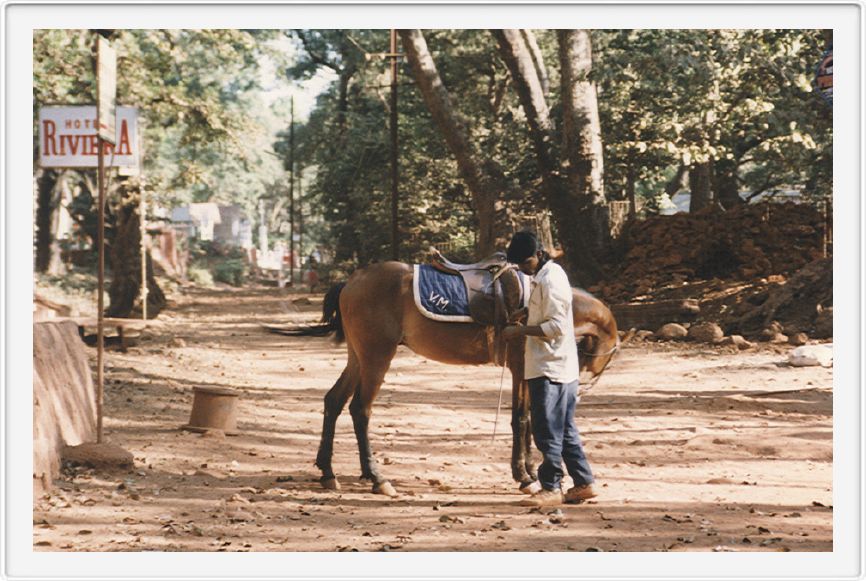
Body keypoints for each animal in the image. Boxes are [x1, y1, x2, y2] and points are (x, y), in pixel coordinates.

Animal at [300, 260, 616, 496]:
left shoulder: (526, 371)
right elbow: (520, 419)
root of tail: (352, 281)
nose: (584, 380)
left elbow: (527, 419)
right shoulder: (519, 367)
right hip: (376, 357)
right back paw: (377, 477)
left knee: (334, 401)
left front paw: (527, 471)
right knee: (360, 409)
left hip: (358, 357)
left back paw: (328, 473)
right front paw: (524, 476)